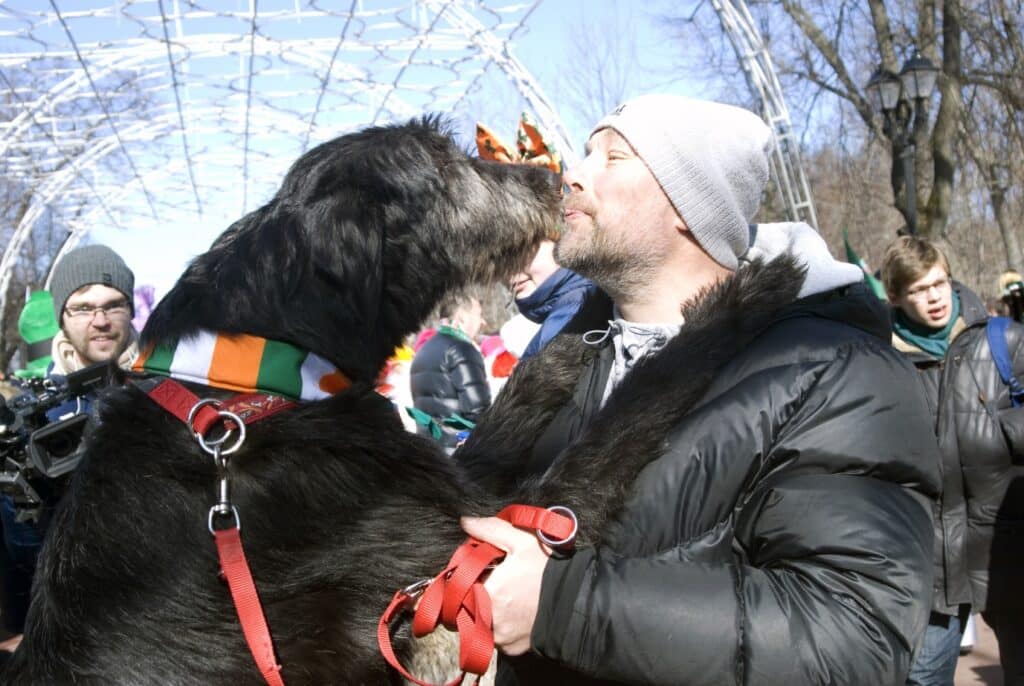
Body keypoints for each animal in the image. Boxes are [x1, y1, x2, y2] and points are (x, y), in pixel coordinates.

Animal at [2, 115, 798, 683]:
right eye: (444, 164)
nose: (555, 182)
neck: (249, 390)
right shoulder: (464, 559)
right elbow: (626, 414)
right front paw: (743, 296)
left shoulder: (448, 483)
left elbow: (509, 411)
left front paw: (581, 323)